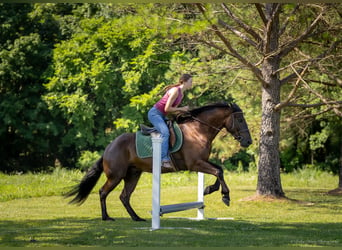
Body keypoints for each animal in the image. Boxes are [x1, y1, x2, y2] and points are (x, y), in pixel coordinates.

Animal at [65, 101, 252, 221]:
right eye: (240, 119)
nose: (248, 141)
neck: (198, 130)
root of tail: (108, 147)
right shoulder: (195, 164)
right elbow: (219, 171)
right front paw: (225, 196)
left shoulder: (201, 162)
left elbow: (219, 170)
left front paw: (208, 190)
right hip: (116, 176)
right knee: (103, 192)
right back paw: (106, 217)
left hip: (133, 175)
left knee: (124, 196)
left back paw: (137, 218)